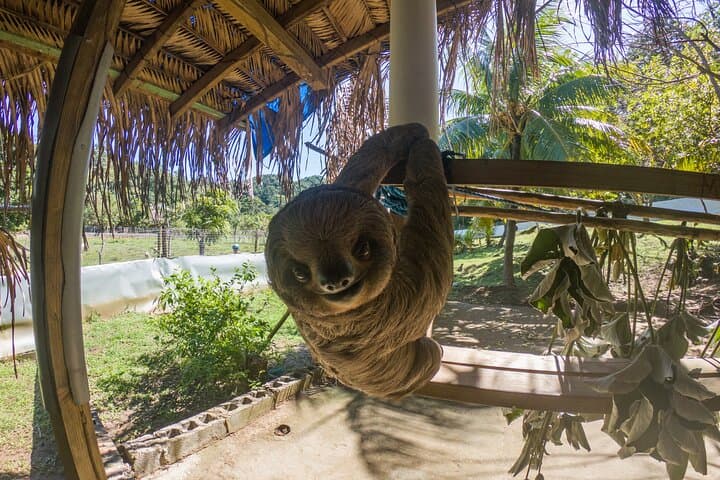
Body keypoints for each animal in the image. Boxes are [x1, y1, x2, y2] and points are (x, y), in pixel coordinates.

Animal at [264, 123, 453, 399]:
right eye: (300, 273)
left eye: (362, 249)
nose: (334, 280)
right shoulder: (406, 298)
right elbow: (433, 241)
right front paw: (426, 147)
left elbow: (358, 173)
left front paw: (410, 132)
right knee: (431, 353)